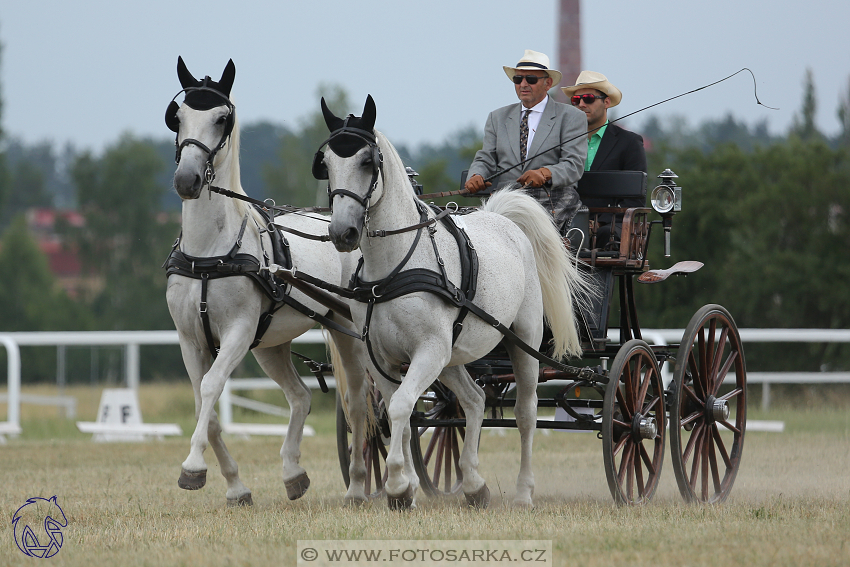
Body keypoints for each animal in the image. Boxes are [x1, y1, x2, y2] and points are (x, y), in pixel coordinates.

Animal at [162, 57, 368, 508]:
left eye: (222, 119)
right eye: (177, 117)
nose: (186, 180)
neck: (210, 254)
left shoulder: (238, 332)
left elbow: (211, 387)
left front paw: (192, 466)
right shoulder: (190, 339)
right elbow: (207, 407)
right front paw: (235, 486)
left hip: (349, 334)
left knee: (361, 401)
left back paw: (363, 486)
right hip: (271, 345)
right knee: (301, 397)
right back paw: (293, 473)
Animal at [316, 94, 588, 510]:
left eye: (366, 161)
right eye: (326, 162)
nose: (342, 232)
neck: (393, 268)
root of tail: (501, 219)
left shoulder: (429, 349)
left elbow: (401, 408)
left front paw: (398, 485)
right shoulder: (385, 358)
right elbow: (398, 413)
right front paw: (406, 487)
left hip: (521, 341)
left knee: (525, 413)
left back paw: (524, 492)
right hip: (452, 356)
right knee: (474, 400)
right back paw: (474, 485)